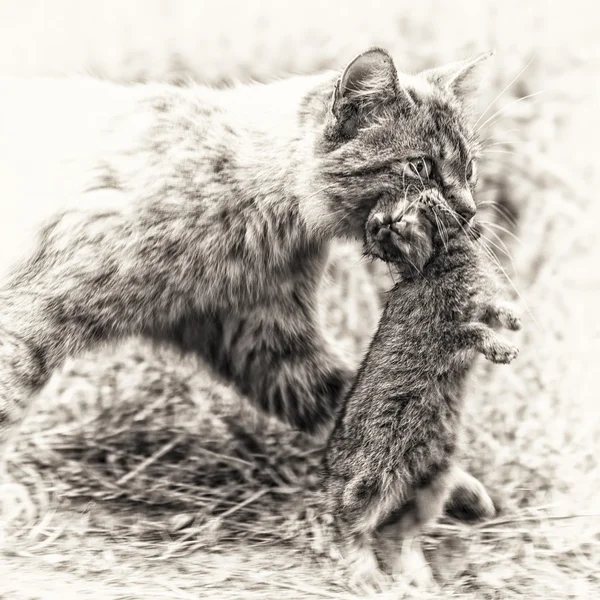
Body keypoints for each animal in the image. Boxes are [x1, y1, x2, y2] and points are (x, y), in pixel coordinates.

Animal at [318, 192, 520, 592]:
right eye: (377, 225)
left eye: (405, 205)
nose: (384, 224)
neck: (432, 263)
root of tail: (332, 477)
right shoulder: (444, 332)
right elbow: (472, 331)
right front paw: (504, 350)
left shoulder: (478, 305)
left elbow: (492, 310)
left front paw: (514, 322)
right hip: (373, 478)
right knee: (350, 524)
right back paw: (368, 578)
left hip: (431, 484)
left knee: (398, 534)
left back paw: (422, 579)